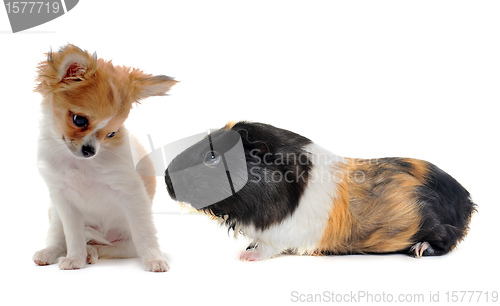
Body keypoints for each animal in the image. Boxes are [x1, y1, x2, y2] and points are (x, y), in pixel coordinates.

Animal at [31, 44, 176, 272]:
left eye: (112, 134)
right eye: (79, 120)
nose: (91, 151)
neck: (80, 165)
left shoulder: (131, 193)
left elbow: (144, 232)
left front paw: (154, 259)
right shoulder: (63, 200)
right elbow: (73, 235)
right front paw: (75, 259)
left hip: (125, 245)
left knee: (109, 247)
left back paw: (92, 251)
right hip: (54, 214)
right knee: (59, 239)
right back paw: (52, 252)